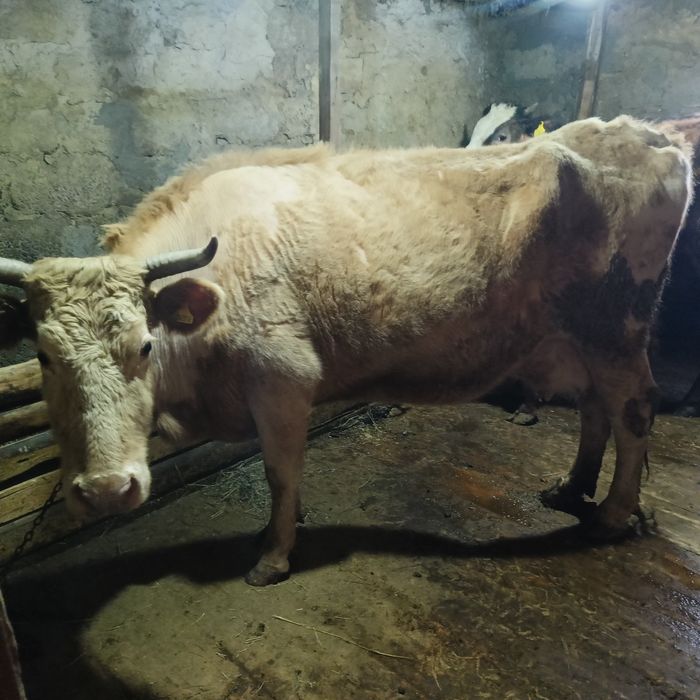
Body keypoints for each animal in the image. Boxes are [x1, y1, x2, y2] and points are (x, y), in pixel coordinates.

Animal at [0, 116, 692, 586]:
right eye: (44, 357)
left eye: (146, 346)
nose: (107, 490)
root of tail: (644, 132)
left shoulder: (283, 378)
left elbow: (280, 471)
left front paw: (274, 555)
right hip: (580, 338)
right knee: (596, 409)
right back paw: (571, 488)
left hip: (616, 329)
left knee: (633, 411)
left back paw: (613, 514)